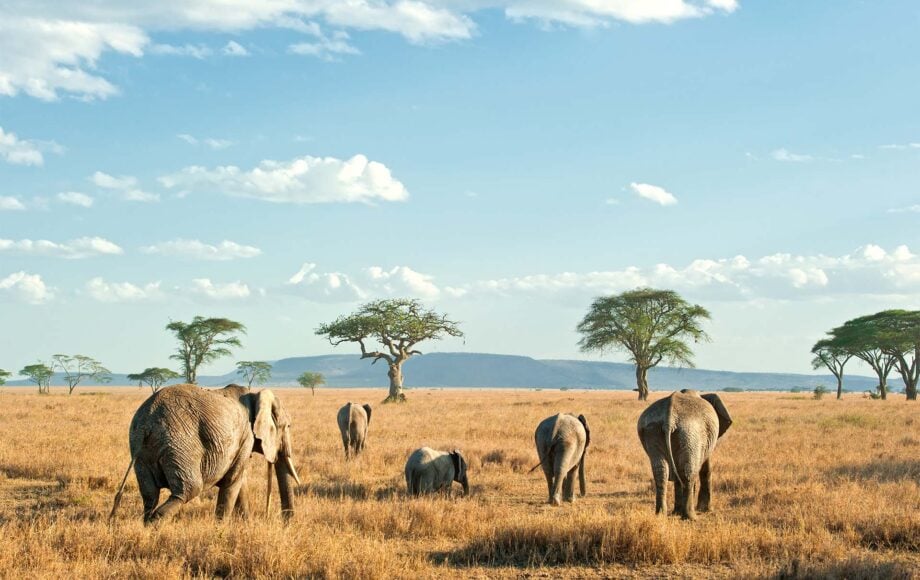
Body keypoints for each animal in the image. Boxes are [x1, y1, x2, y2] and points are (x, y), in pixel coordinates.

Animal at [110, 383, 302, 524]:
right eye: (287, 426)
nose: (286, 523)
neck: (255, 395)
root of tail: (147, 422)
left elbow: (240, 482)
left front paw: (245, 525)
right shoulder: (246, 436)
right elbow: (232, 482)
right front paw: (220, 529)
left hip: (140, 449)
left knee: (150, 495)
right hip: (180, 444)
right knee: (188, 490)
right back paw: (154, 527)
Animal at [637, 389, 732, 520]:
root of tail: (669, 418)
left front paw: (676, 512)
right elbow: (705, 468)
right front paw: (706, 510)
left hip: (653, 429)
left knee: (661, 471)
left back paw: (660, 515)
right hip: (690, 432)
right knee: (688, 472)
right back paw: (691, 517)